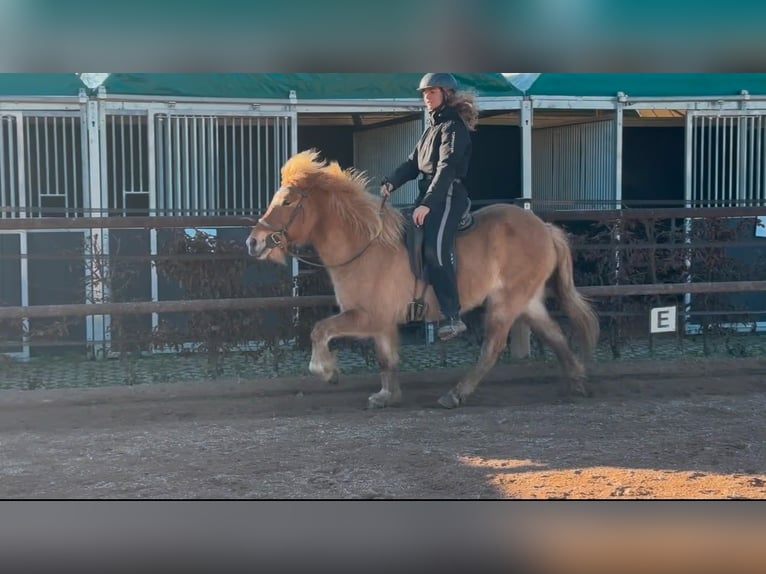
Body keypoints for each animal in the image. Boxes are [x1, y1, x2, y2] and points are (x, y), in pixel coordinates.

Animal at [246, 148, 600, 410]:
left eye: (287, 201)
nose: (254, 242)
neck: (365, 246)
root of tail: (545, 228)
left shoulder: (368, 316)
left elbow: (320, 330)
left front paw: (327, 371)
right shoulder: (381, 322)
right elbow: (386, 358)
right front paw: (387, 396)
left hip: (506, 302)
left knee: (492, 348)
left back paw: (456, 394)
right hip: (527, 300)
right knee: (555, 335)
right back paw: (578, 381)